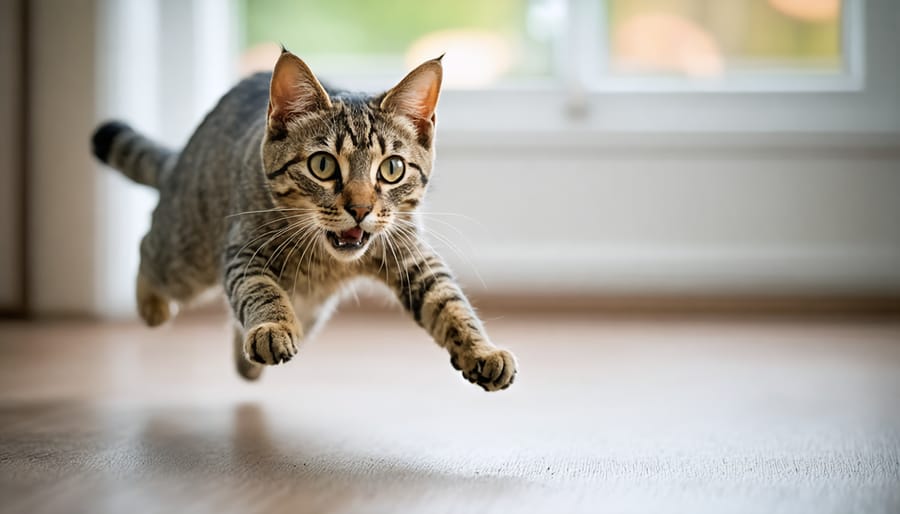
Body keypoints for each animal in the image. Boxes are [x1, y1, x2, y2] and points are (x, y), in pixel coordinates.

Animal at [91, 50, 516, 390]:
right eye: (322, 165)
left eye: (392, 168)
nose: (360, 208)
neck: (328, 260)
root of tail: (183, 156)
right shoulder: (245, 250)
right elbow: (261, 290)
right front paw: (273, 327)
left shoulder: (409, 253)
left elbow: (450, 303)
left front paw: (482, 350)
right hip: (184, 257)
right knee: (148, 248)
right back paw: (152, 306)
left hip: (308, 310)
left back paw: (245, 363)